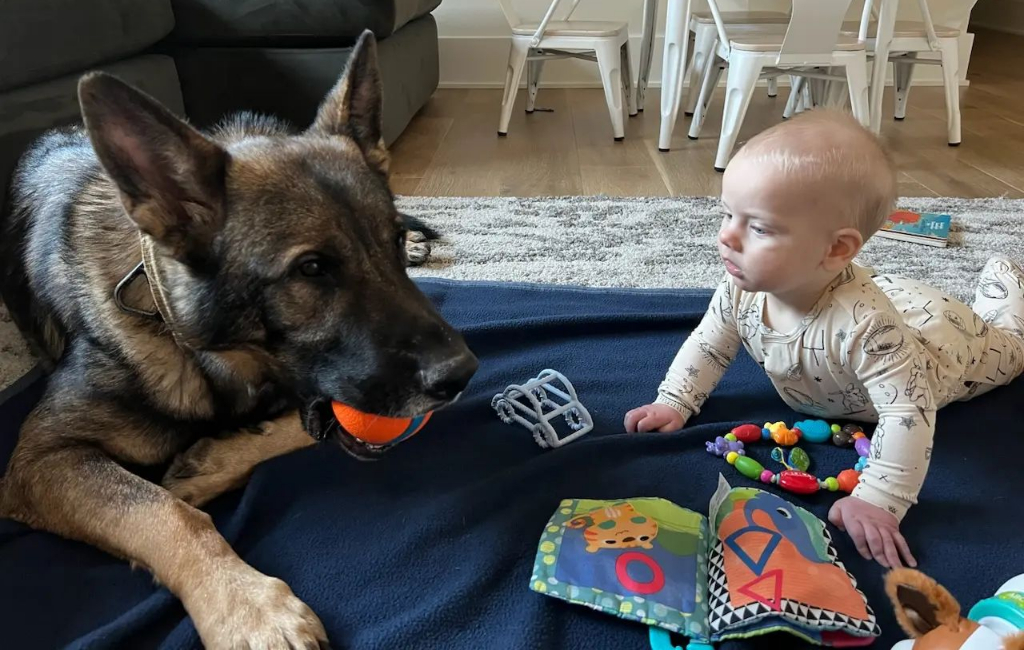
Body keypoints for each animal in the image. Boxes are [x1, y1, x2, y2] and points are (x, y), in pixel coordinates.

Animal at [0, 31, 477, 650]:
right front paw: (249, 607)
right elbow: (162, 512)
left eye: (390, 243)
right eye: (312, 269)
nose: (463, 374)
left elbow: (305, 426)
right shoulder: (41, 460)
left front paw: (212, 461)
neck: (204, 352)